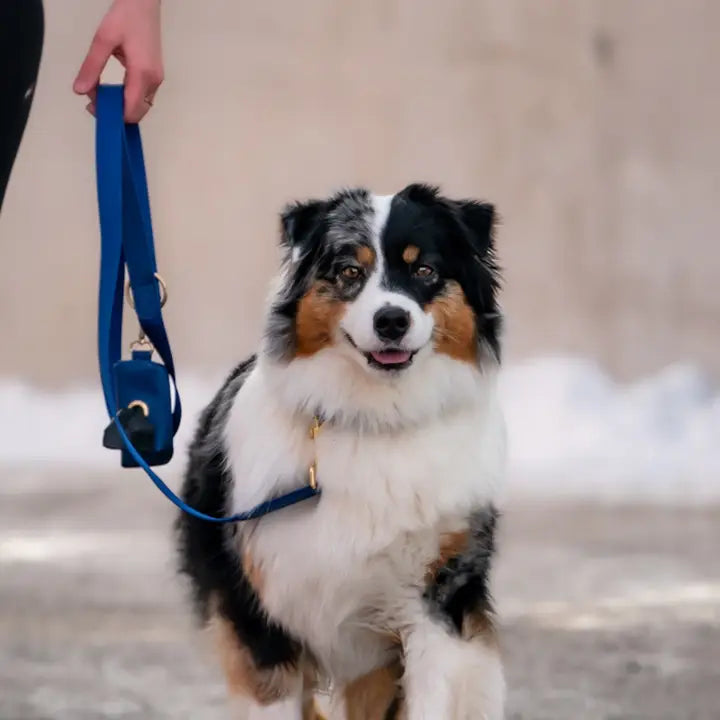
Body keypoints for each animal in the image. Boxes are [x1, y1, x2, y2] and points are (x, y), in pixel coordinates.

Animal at [176, 184, 506, 720]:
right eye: (350, 271)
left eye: (424, 270)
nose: (391, 320)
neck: (374, 421)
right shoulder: (259, 614)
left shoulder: (436, 603)